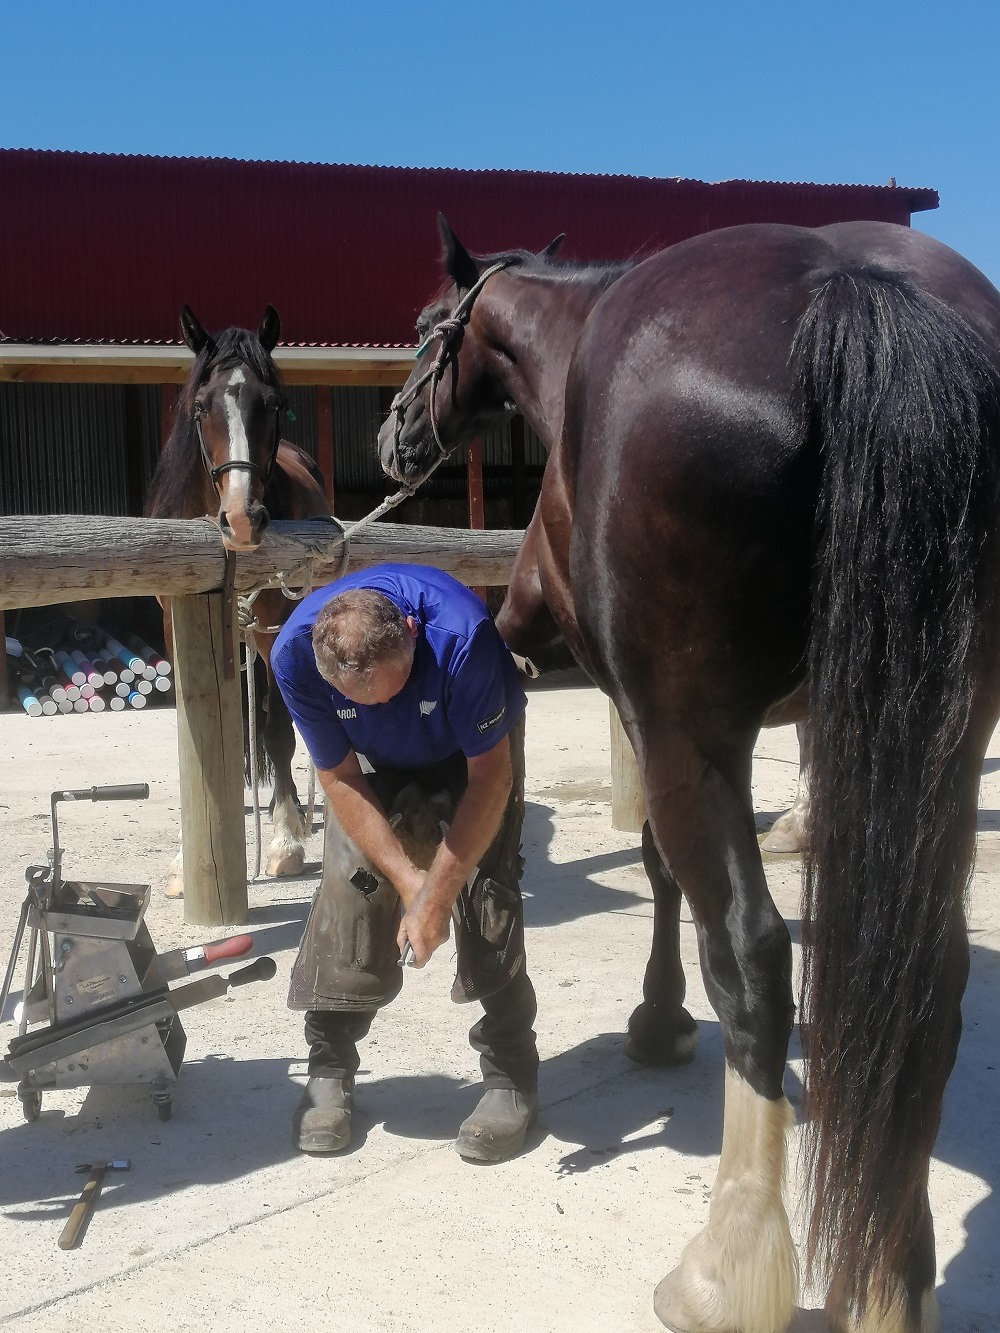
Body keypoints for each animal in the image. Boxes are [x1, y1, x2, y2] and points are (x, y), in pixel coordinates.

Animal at [146, 305, 331, 891]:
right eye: (201, 406)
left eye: (272, 403)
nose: (241, 518)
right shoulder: (177, 632)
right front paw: (185, 862)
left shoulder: (275, 632)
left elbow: (276, 730)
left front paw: (285, 840)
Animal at [377, 216, 1000, 1332]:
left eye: (421, 329)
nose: (392, 437)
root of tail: (849, 287)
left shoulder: (573, 672)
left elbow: (650, 866)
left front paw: (651, 1015)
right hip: (945, 744)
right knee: (927, 992)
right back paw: (889, 1281)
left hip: (688, 737)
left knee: (754, 960)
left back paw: (726, 1264)